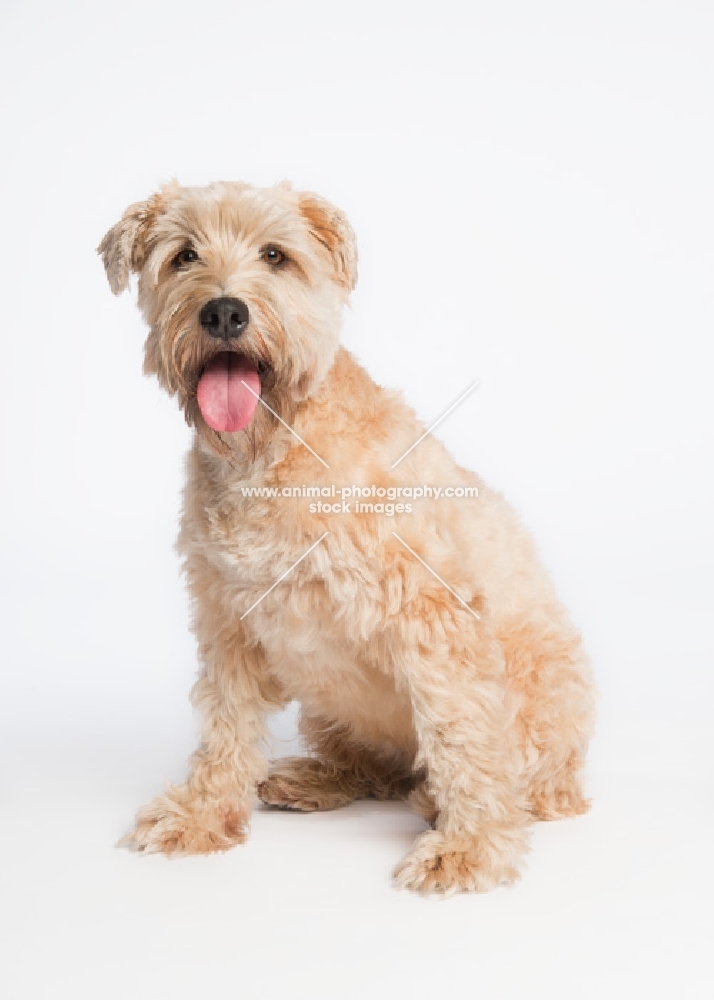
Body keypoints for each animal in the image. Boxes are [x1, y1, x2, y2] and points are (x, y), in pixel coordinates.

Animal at [97, 178, 592, 892]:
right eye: (184, 255)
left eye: (276, 255)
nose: (224, 313)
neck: (270, 452)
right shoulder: (227, 619)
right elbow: (224, 724)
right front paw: (204, 813)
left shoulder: (435, 617)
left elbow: (461, 734)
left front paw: (471, 846)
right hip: (330, 708)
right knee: (374, 768)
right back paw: (316, 778)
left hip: (540, 700)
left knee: (518, 780)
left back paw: (455, 802)